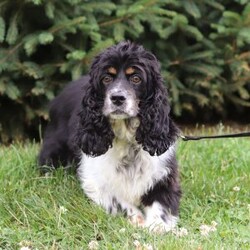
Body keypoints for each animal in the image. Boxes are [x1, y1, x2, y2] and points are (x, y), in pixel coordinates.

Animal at [39, 41, 181, 232]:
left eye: (136, 78)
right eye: (106, 78)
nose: (117, 98)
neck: (128, 140)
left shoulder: (163, 174)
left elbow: (161, 203)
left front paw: (157, 226)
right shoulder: (94, 180)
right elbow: (117, 200)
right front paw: (137, 219)